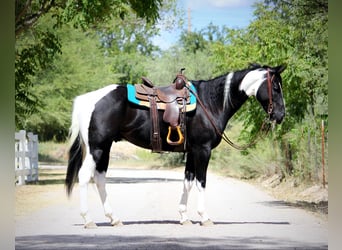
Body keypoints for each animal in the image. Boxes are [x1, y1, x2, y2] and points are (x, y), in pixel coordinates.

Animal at [65, 63, 286, 228]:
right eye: (275, 87)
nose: (281, 115)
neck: (211, 103)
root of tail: (87, 99)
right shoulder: (202, 150)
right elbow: (201, 182)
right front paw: (204, 217)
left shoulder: (191, 151)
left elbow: (187, 182)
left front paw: (184, 217)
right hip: (97, 148)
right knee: (84, 177)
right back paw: (88, 220)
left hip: (105, 148)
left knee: (99, 179)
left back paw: (114, 219)